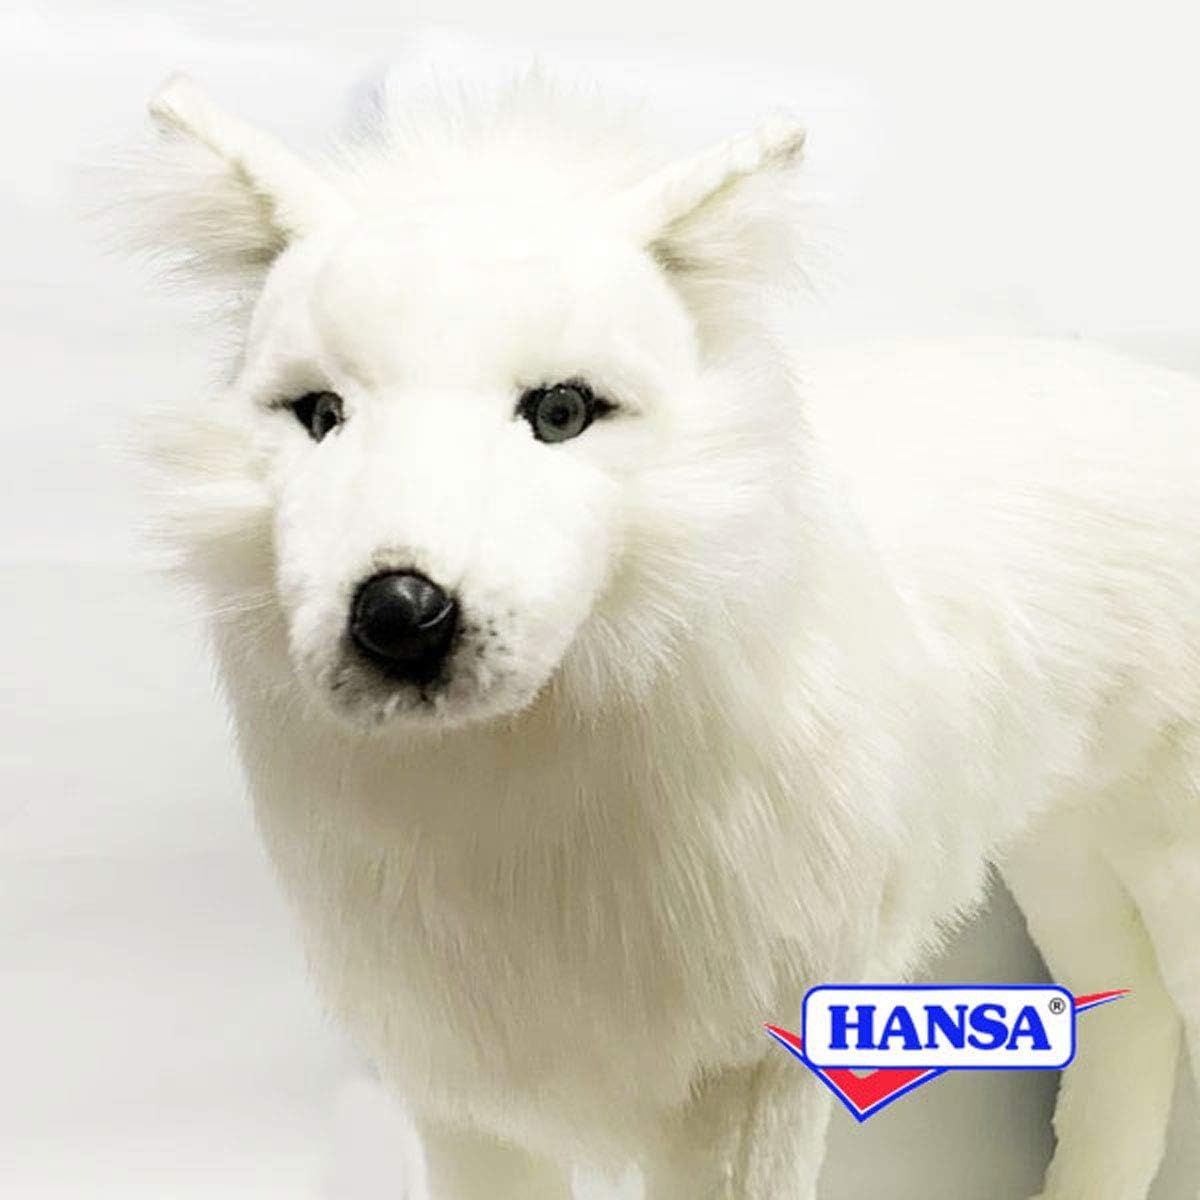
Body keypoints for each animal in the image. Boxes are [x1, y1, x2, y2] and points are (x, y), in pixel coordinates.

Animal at [123, 71, 1200, 1199]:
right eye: (320, 414)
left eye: (560, 411)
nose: (401, 614)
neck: (518, 820)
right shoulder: (461, 1092)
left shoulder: (751, 1074)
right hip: (1063, 846)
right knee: (1131, 1017)